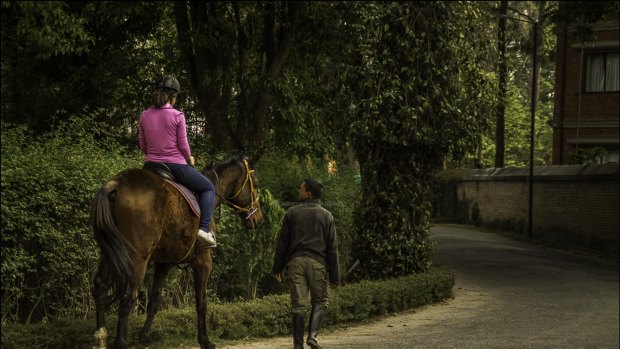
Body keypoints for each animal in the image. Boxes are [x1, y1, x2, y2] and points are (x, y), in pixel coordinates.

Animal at [89, 156, 262, 348]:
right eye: (255, 184)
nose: (258, 218)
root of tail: (115, 184)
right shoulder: (203, 261)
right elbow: (201, 302)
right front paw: (205, 340)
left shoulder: (163, 263)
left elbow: (155, 301)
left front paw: (144, 336)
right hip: (137, 257)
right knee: (128, 296)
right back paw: (121, 341)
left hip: (109, 252)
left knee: (100, 286)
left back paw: (100, 336)